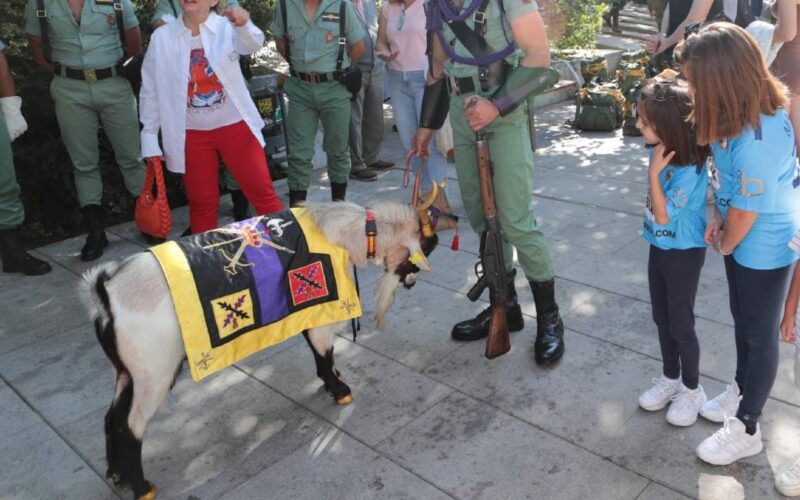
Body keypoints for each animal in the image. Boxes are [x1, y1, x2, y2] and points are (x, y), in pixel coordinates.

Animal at [81, 200, 438, 500]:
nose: (412, 282)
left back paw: (117, 475)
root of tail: (106, 294)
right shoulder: (323, 309)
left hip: (128, 372)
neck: (340, 230)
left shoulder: (308, 311)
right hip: (155, 373)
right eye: (416, 257)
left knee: (113, 418)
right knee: (132, 424)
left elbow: (319, 354)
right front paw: (340, 391)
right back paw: (142, 486)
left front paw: (330, 381)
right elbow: (325, 351)